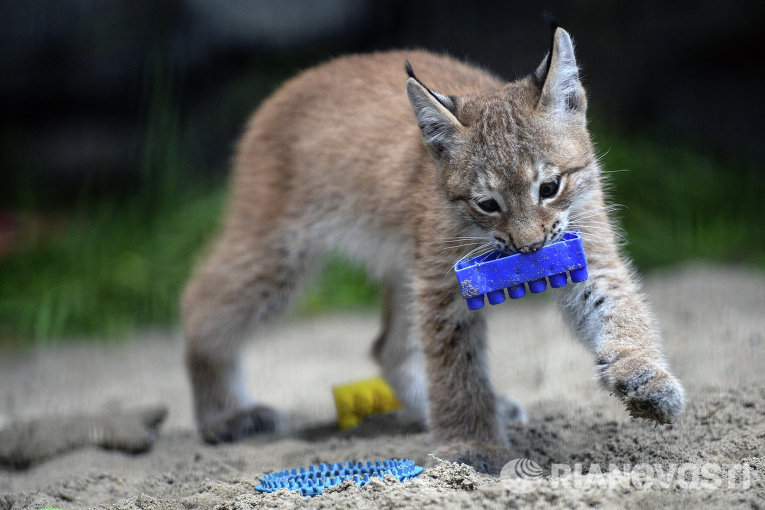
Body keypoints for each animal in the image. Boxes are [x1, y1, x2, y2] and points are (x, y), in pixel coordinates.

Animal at [182, 25, 684, 472]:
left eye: (550, 187)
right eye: (487, 204)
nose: (529, 248)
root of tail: (298, 80)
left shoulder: (586, 250)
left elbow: (621, 310)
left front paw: (646, 377)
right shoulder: (444, 284)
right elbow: (455, 364)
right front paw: (473, 445)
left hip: (402, 261)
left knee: (388, 347)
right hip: (279, 252)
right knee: (199, 304)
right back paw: (226, 415)